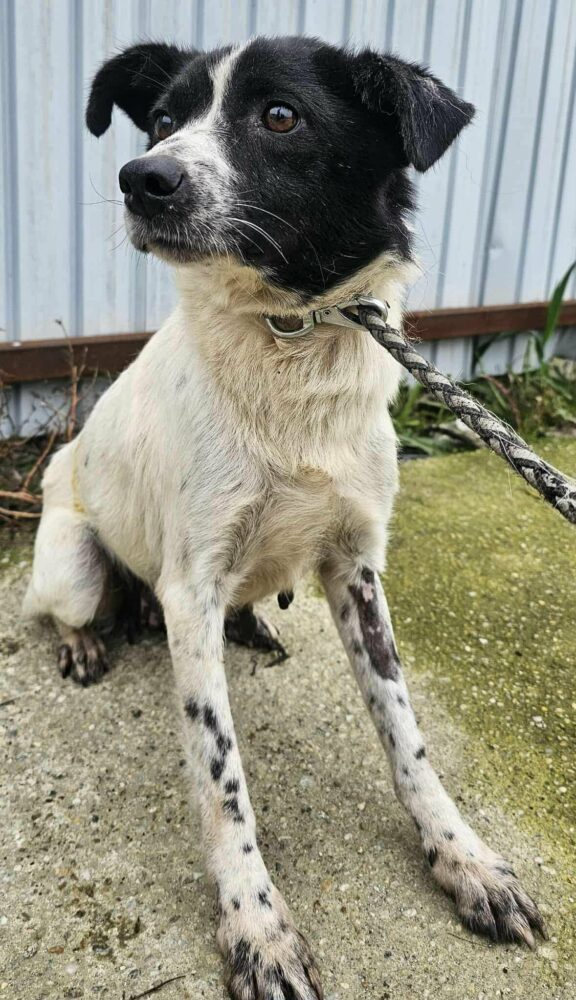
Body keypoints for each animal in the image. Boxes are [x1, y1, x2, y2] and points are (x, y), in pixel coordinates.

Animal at [24, 35, 546, 1000]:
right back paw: (85, 640)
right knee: (68, 605)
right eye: (163, 119)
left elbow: (408, 738)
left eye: (279, 116)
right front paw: (256, 930)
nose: (140, 177)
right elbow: (223, 784)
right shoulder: (191, 589)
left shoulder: (358, 566)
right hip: (75, 560)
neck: (291, 338)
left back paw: (253, 625)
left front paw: (465, 860)